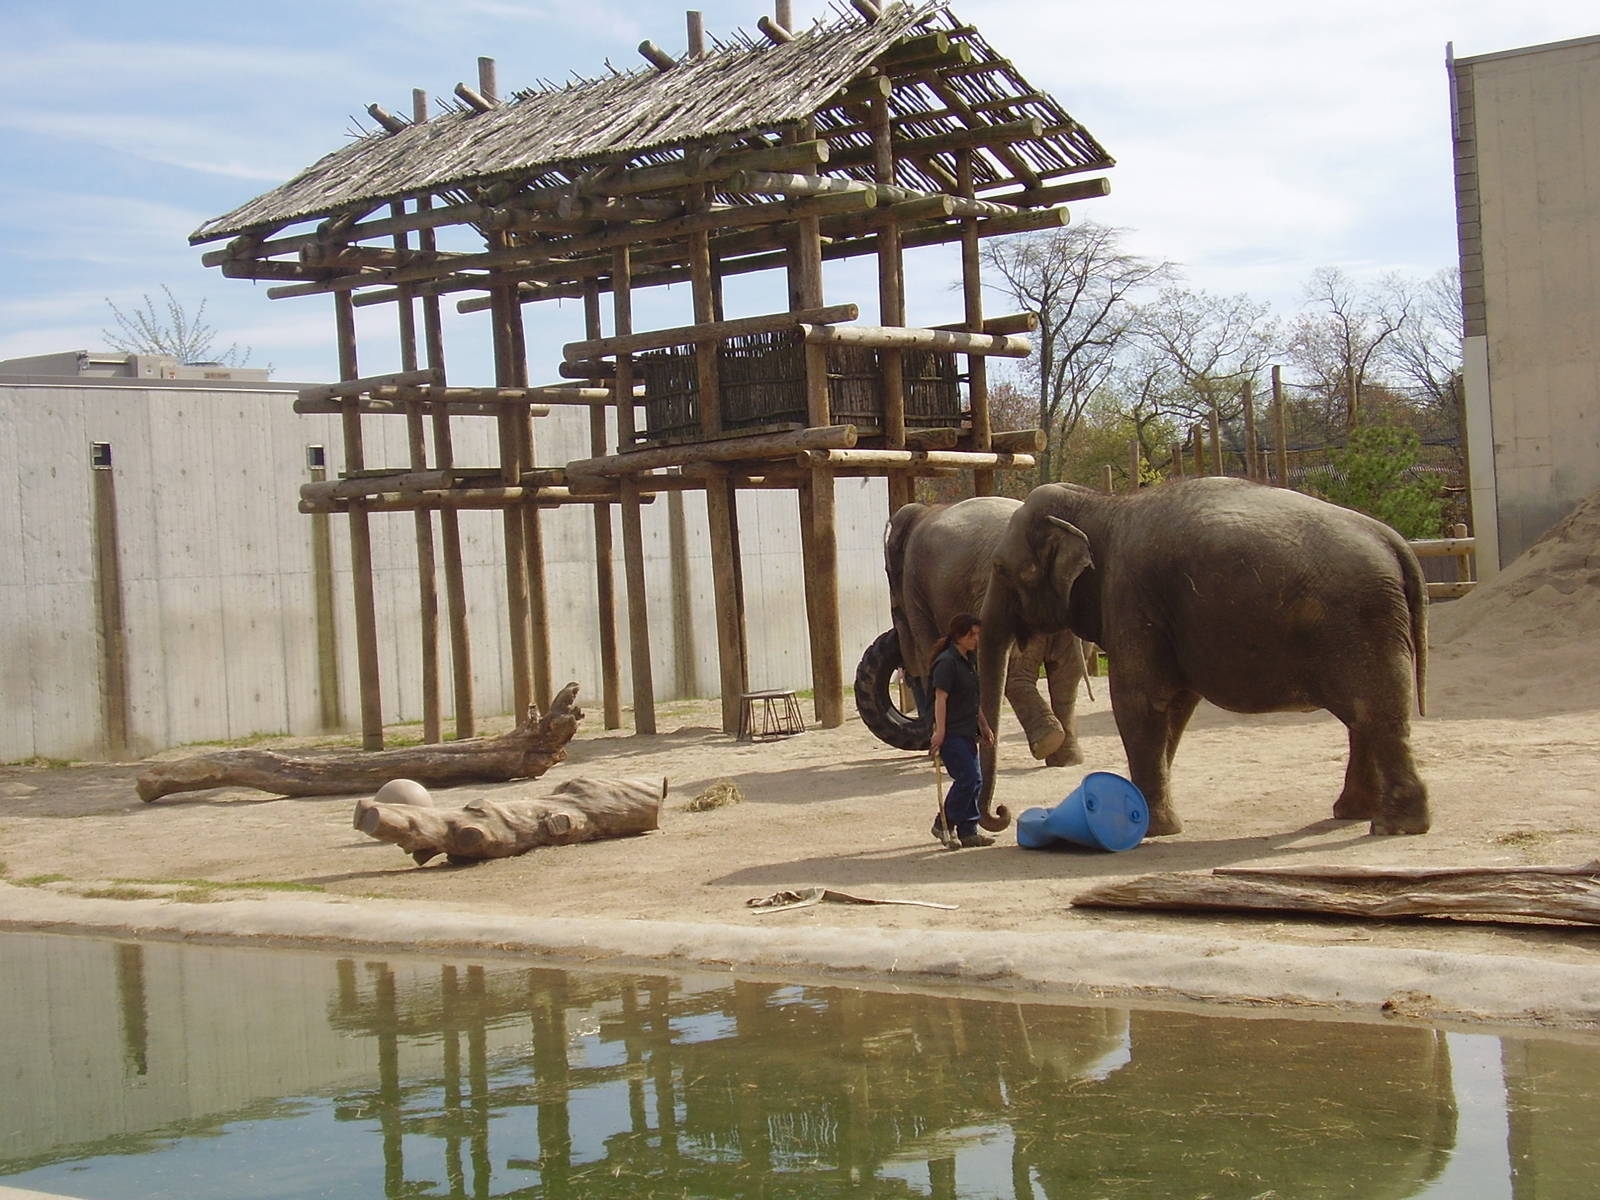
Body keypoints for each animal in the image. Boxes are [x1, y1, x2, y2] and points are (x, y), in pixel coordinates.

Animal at [855, 496, 1086, 765]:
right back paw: (1065, 757)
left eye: (887, 574)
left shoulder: (914, 587)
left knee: (1018, 671)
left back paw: (1048, 744)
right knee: (1066, 674)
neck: (922, 510)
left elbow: (930, 656)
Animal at [976, 477, 1429, 837]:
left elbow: (1139, 701)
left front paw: (1150, 827)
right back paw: (1353, 814)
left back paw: (1394, 826)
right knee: (1363, 716)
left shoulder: (1129, 596)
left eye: (999, 568)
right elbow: (1174, 706)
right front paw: (1147, 817)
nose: (1001, 813)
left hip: (1361, 620)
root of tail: (1393, 539)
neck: (1102, 504)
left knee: (1375, 711)